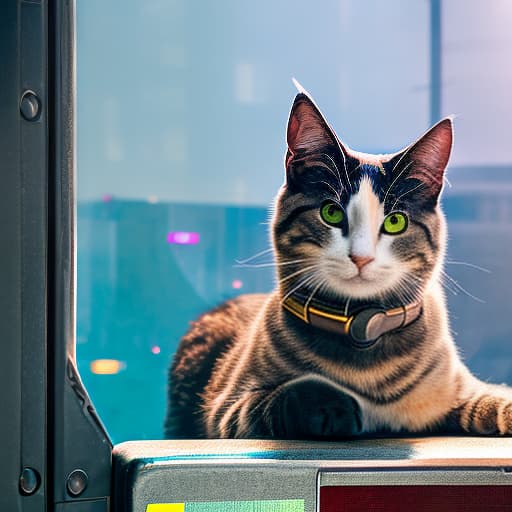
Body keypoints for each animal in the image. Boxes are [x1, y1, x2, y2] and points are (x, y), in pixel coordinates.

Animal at [164, 86, 512, 438]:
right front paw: (334, 403)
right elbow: (282, 396)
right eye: (331, 212)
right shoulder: (229, 409)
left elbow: (489, 398)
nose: (361, 257)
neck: (362, 332)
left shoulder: (460, 386)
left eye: (395, 221)